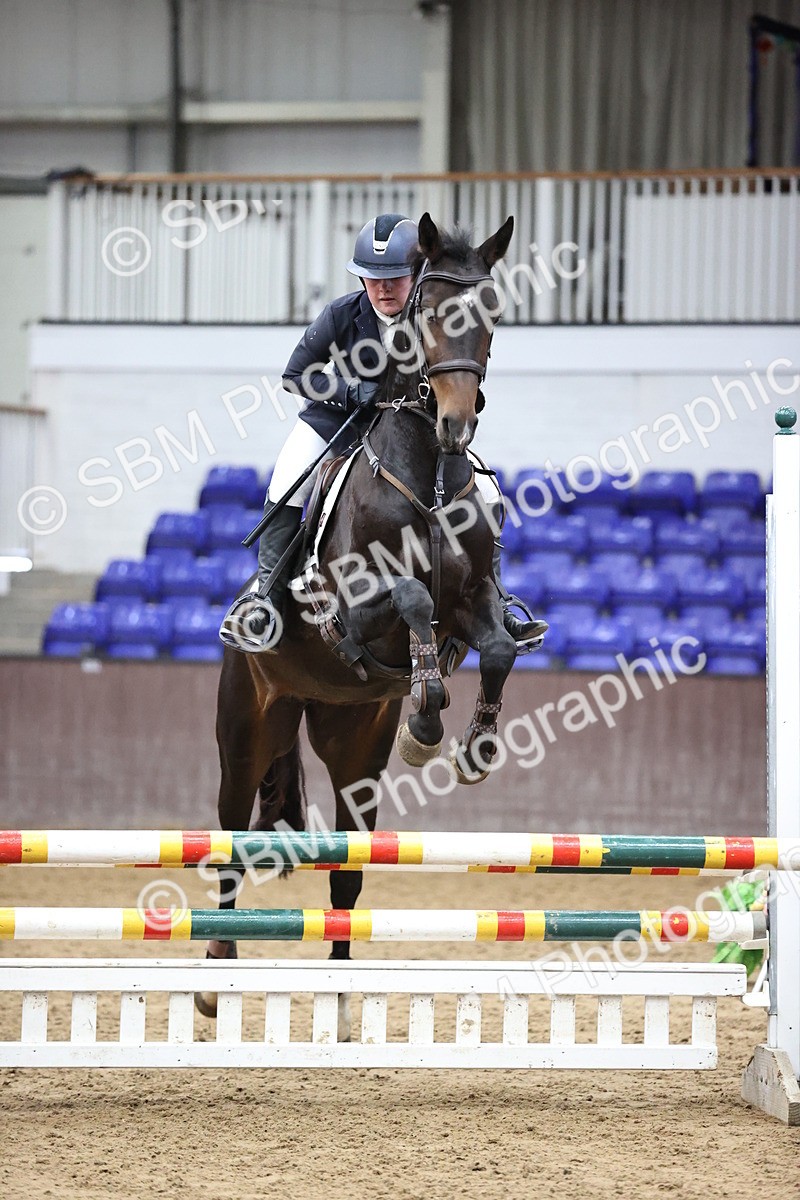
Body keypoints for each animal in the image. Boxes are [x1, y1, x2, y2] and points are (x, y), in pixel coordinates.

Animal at [196, 213, 520, 1029]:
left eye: (492, 315)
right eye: (426, 315)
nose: (456, 423)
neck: (427, 471)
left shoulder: (474, 603)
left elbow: (498, 643)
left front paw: (468, 744)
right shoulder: (352, 605)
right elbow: (410, 601)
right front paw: (429, 718)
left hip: (352, 746)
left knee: (346, 870)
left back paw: (342, 1001)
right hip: (246, 729)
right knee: (228, 837)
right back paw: (215, 977)